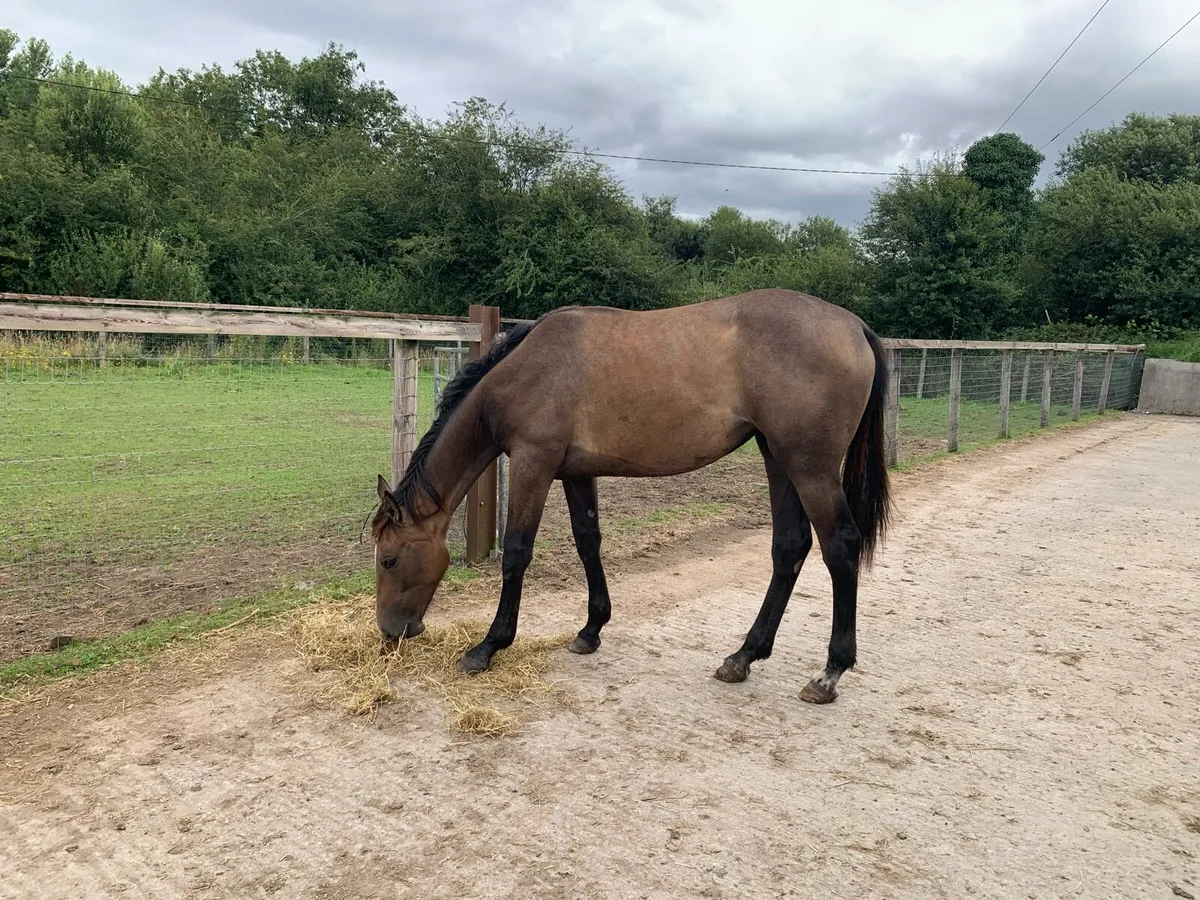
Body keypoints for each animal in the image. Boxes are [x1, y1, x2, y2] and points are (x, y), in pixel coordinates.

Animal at [371, 288, 893, 704]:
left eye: (389, 560)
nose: (391, 632)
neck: (524, 370)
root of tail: (855, 326)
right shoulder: (575, 473)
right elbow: (588, 541)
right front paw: (591, 630)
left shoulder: (533, 463)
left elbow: (517, 553)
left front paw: (488, 646)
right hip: (778, 457)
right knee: (789, 547)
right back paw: (743, 656)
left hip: (809, 467)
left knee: (840, 547)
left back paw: (829, 673)